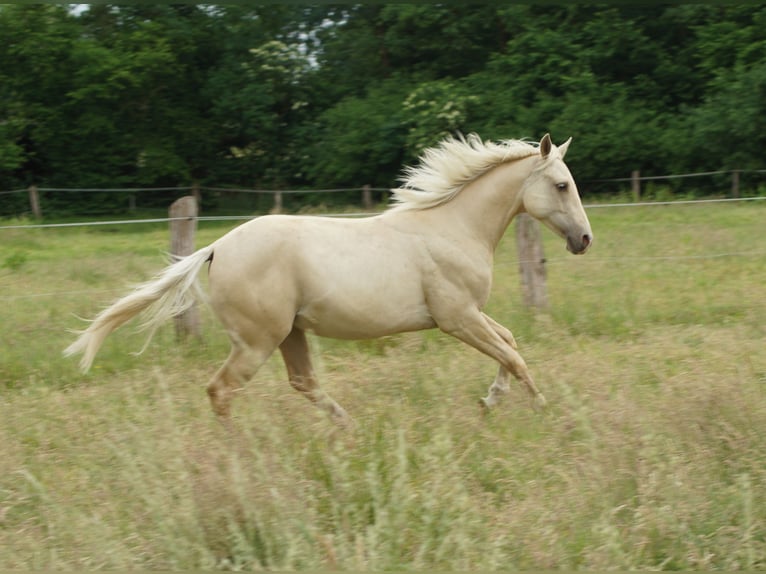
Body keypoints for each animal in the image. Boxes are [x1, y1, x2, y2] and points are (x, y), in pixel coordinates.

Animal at [64, 133, 592, 427]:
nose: (584, 239)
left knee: (303, 384)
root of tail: (216, 249)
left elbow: (510, 344)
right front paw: (545, 411)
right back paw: (238, 454)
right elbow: (514, 355)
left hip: (290, 333)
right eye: (561, 185)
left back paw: (349, 429)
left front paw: (490, 402)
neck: (452, 227)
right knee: (221, 390)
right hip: (257, 342)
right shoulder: (457, 317)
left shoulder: (470, 316)